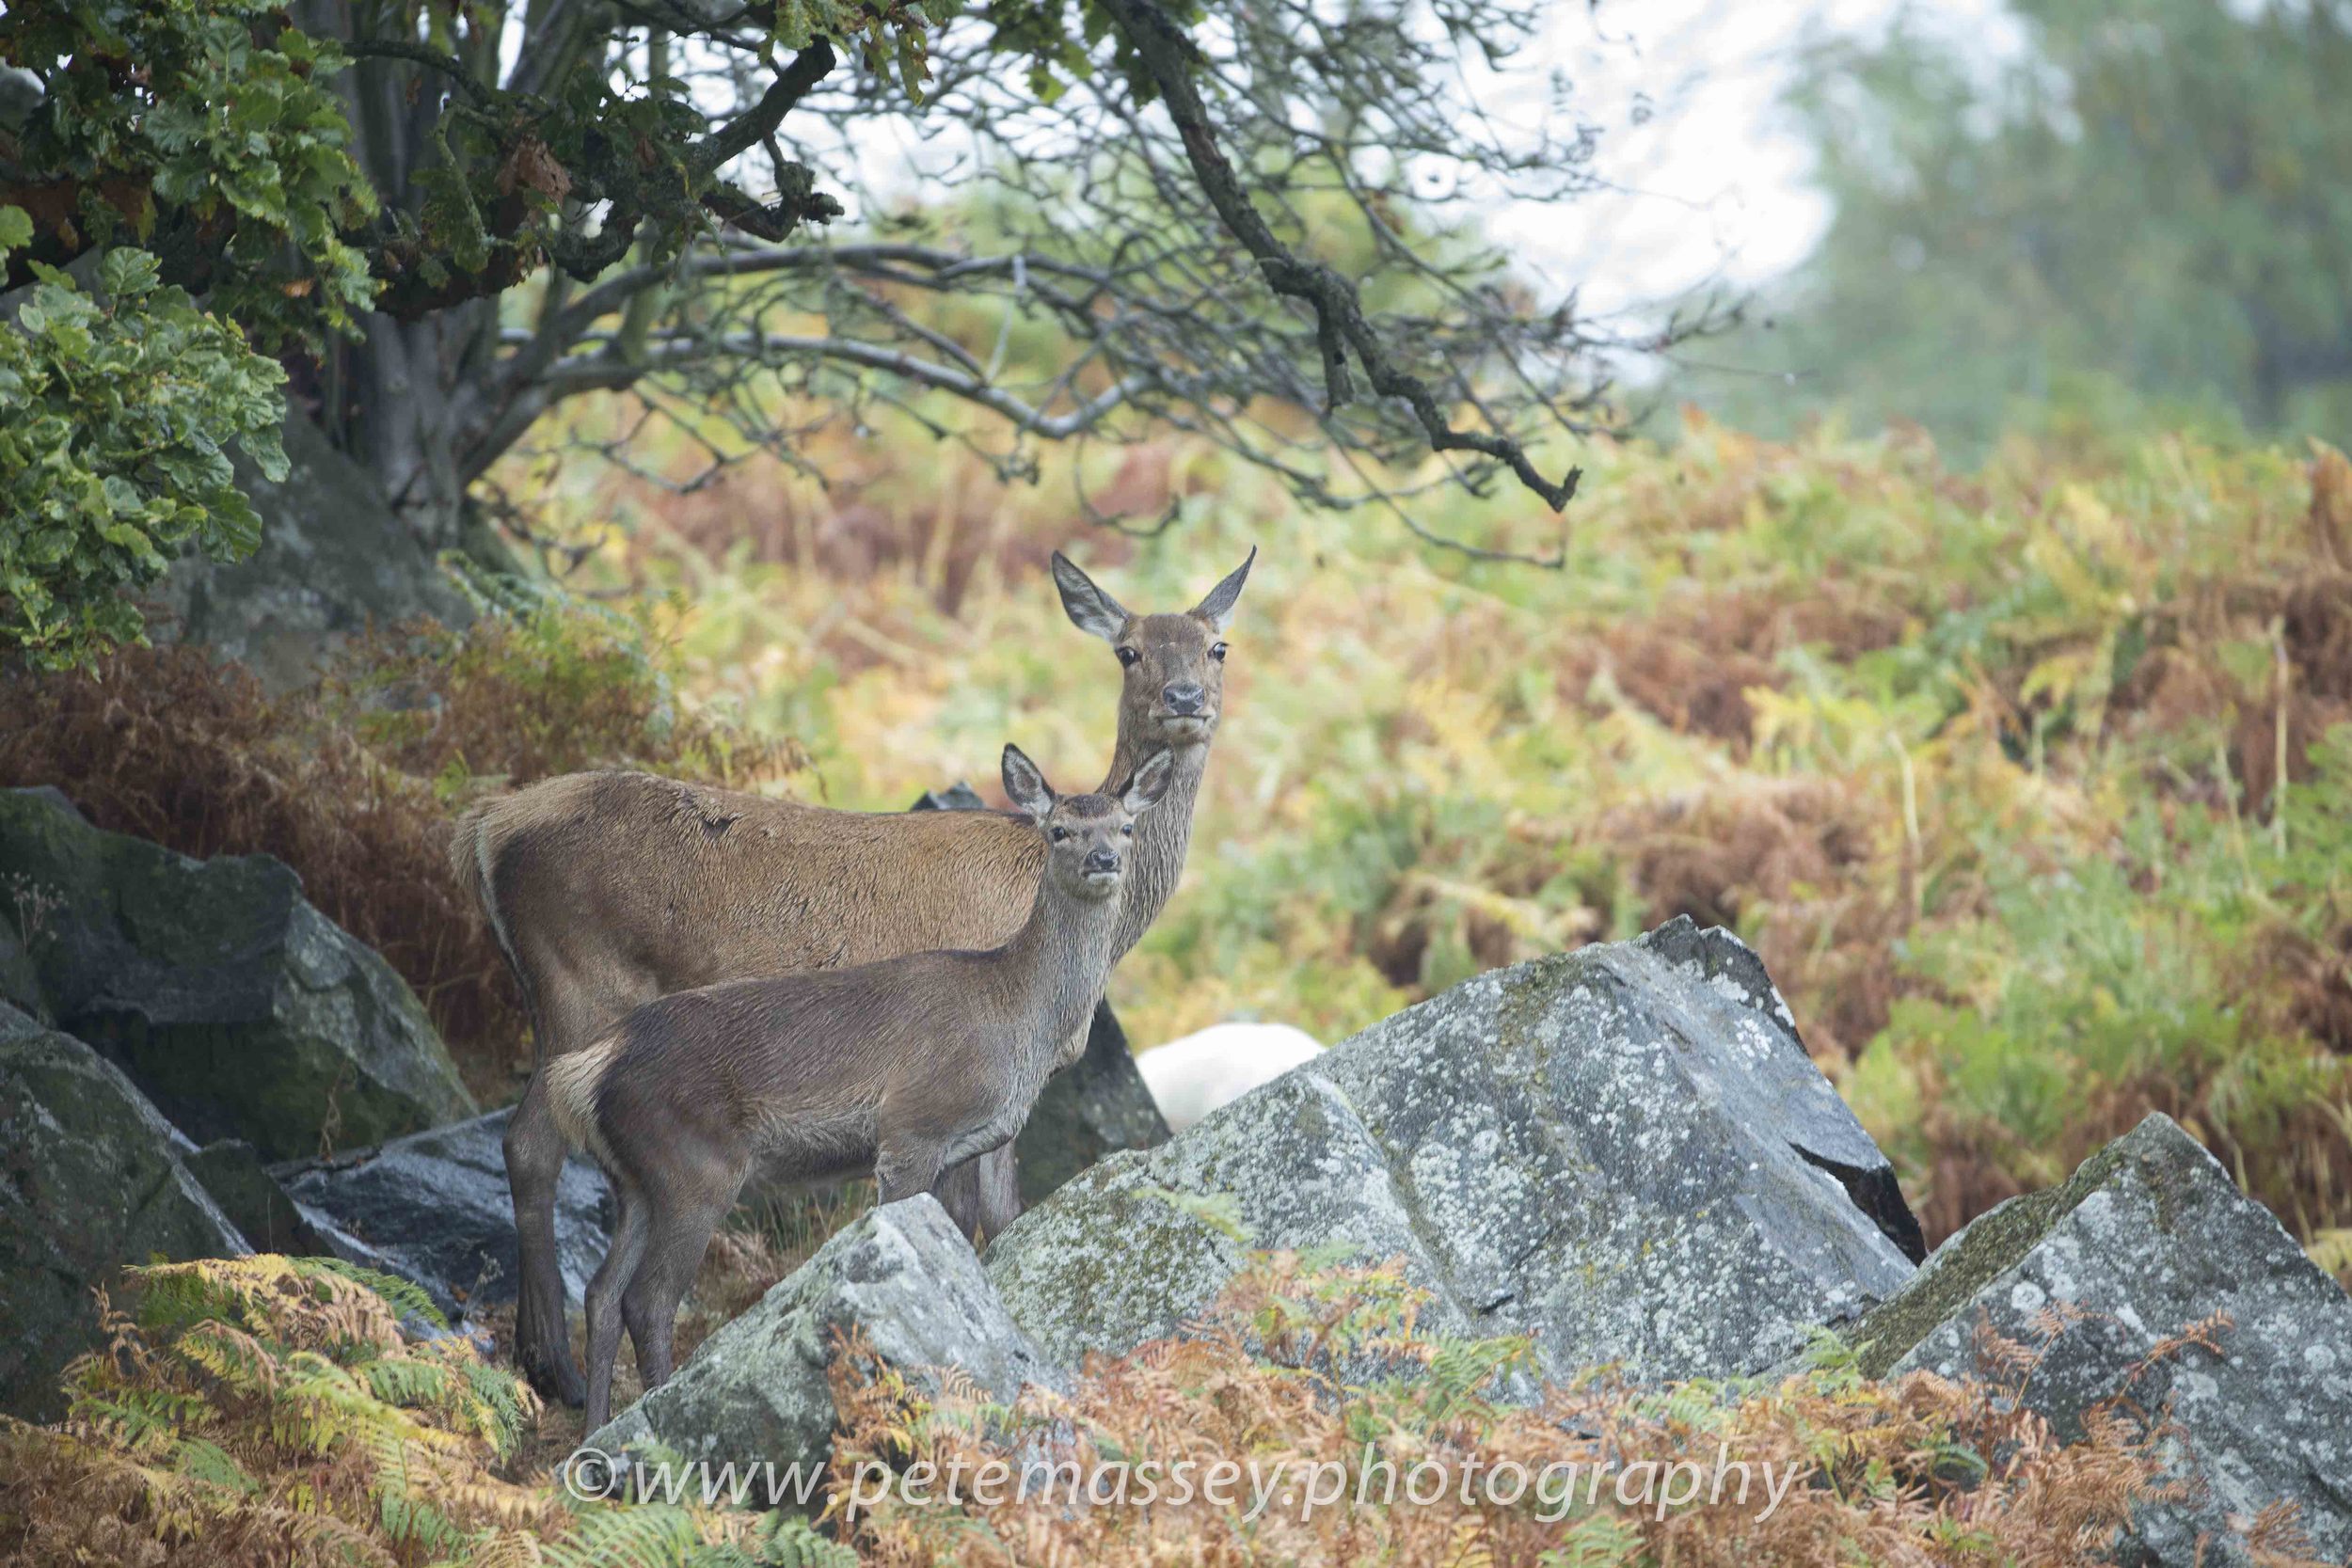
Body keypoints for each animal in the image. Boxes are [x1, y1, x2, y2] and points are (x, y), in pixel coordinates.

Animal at [546, 745, 1172, 1435]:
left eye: (1126, 827)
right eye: (1059, 830)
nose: (1103, 859)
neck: (1018, 1016)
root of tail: (588, 1066)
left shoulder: (966, 1142)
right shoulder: (913, 1126)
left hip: (633, 1180)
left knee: (600, 1292)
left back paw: (594, 1431)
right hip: (692, 1164)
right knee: (649, 1299)